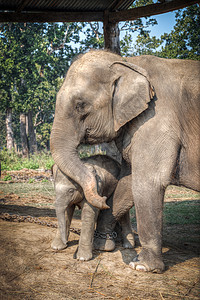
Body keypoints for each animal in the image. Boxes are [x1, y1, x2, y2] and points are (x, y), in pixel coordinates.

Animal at [50, 50, 200, 274]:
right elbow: (128, 181)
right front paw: (102, 245)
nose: (102, 198)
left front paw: (142, 266)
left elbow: (148, 181)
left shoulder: (157, 117)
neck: (127, 64)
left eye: (80, 105)